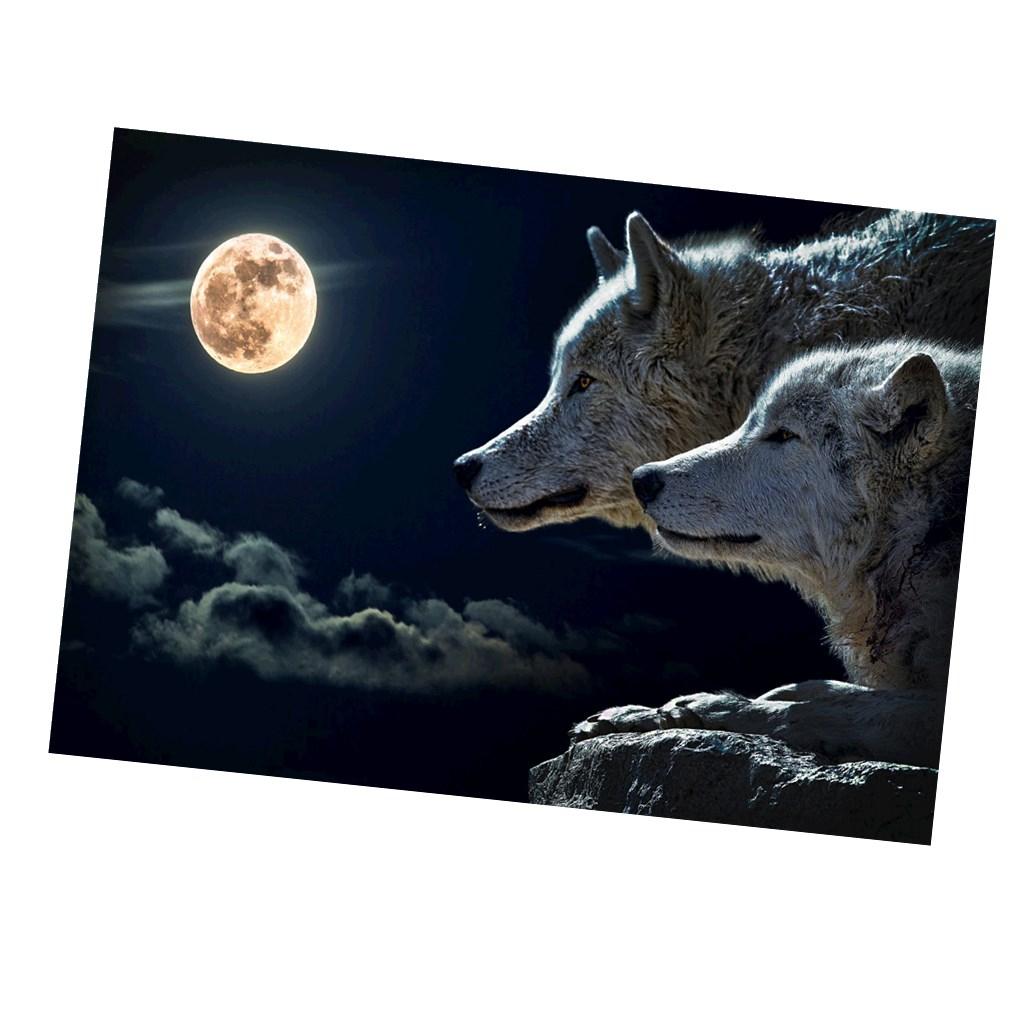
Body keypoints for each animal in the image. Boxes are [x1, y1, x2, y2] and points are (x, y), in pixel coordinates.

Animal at [571, 339, 981, 768]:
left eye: (784, 434)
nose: (642, 479)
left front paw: (708, 709)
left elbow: (818, 709)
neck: (923, 536)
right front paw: (637, 715)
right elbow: (819, 689)